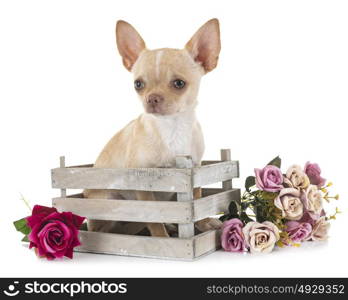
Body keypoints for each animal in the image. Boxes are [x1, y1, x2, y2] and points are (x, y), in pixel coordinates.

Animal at [85, 18, 220, 237]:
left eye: (179, 83)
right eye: (138, 84)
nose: (152, 98)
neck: (171, 127)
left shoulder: (196, 169)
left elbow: (198, 198)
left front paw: (204, 223)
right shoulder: (143, 187)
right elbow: (154, 220)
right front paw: (162, 238)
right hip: (109, 201)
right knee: (111, 224)